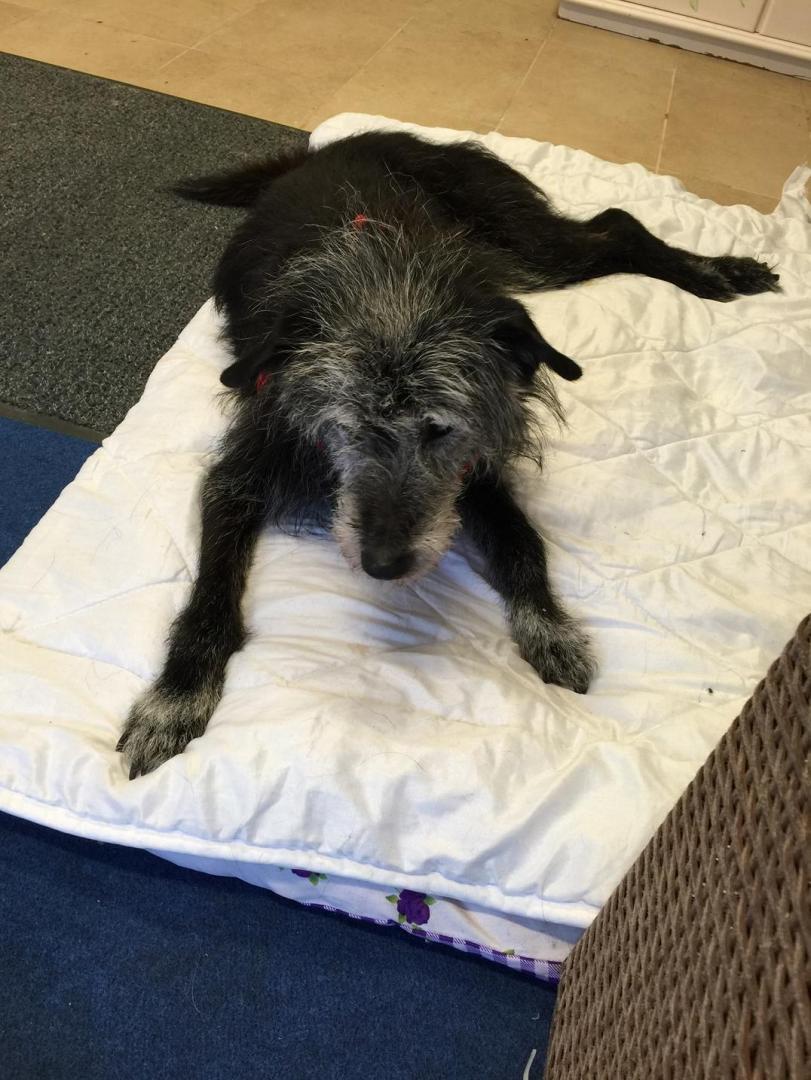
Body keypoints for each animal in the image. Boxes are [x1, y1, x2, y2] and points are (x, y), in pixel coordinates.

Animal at [117, 131, 779, 777]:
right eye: (345, 424)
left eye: (440, 429)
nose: (383, 564)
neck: (385, 288)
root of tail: (340, 145)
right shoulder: (242, 474)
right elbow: (209, 599)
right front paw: (175, 699)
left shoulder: (474, 471)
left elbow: (523, 543)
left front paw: (551, 629)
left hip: (524, 251)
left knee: (616, 226)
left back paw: (717, 271)